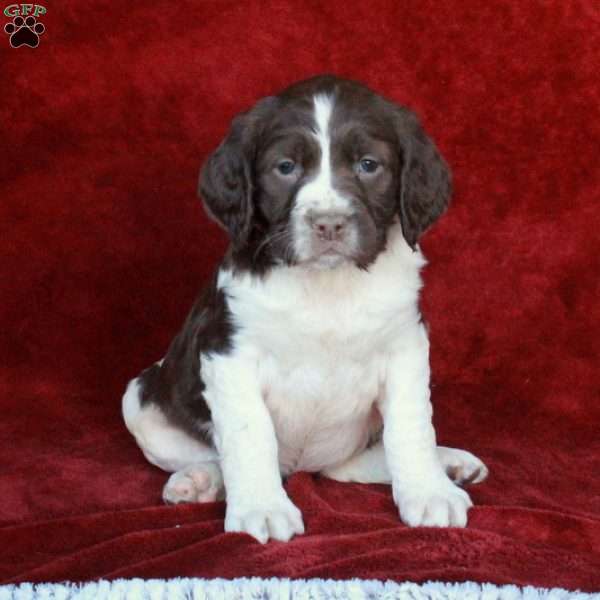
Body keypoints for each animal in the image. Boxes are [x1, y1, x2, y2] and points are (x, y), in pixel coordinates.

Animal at [120, 75, 488, 544]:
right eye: (285, 167)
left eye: (369, 165)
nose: (328, 224)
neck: (326, 285)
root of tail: (300, 467)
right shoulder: (229, 353)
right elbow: (248, 433)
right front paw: (261, 507)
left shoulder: (406, 345)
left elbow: (411, 427)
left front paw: (428, 491)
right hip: (141, 399)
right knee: (221, 454)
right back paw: (200, 480)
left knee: (351, 465)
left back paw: (448, 464)